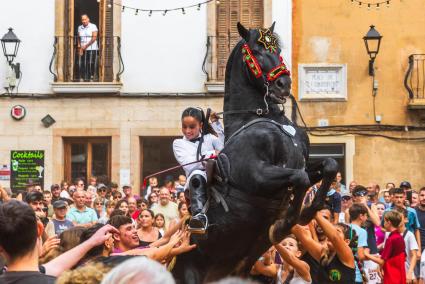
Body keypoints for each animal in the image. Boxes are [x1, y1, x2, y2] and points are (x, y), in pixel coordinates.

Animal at [171, 22, 336, 284]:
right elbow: (300, 179)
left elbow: (328, 165)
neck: (258, 118)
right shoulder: (257, 175)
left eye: (278, 49)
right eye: (258, 51)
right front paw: (287, 222)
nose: (284, 84)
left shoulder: (300, 164)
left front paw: (311, 209)